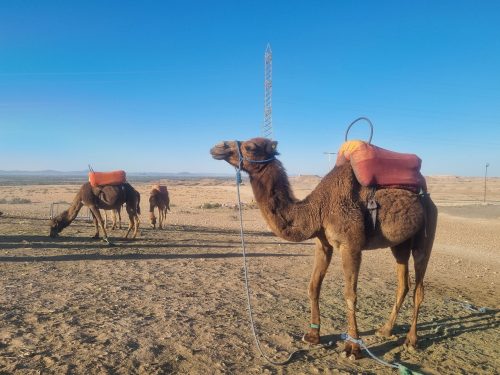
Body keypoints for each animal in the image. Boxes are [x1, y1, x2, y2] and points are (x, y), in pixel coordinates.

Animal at [211, 138, 438, 362]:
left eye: (250, 147)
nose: (218, 147)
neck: (317, 209)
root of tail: (429, 199)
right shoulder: (323, 243)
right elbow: (313, 287)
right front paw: (313, 335)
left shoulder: (350, 246)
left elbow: (350, 295)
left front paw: (352, 347)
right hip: (399, 244)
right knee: (403, 283)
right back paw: (385, 330)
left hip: (426, 234)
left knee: (419, 286)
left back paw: (411, 340)